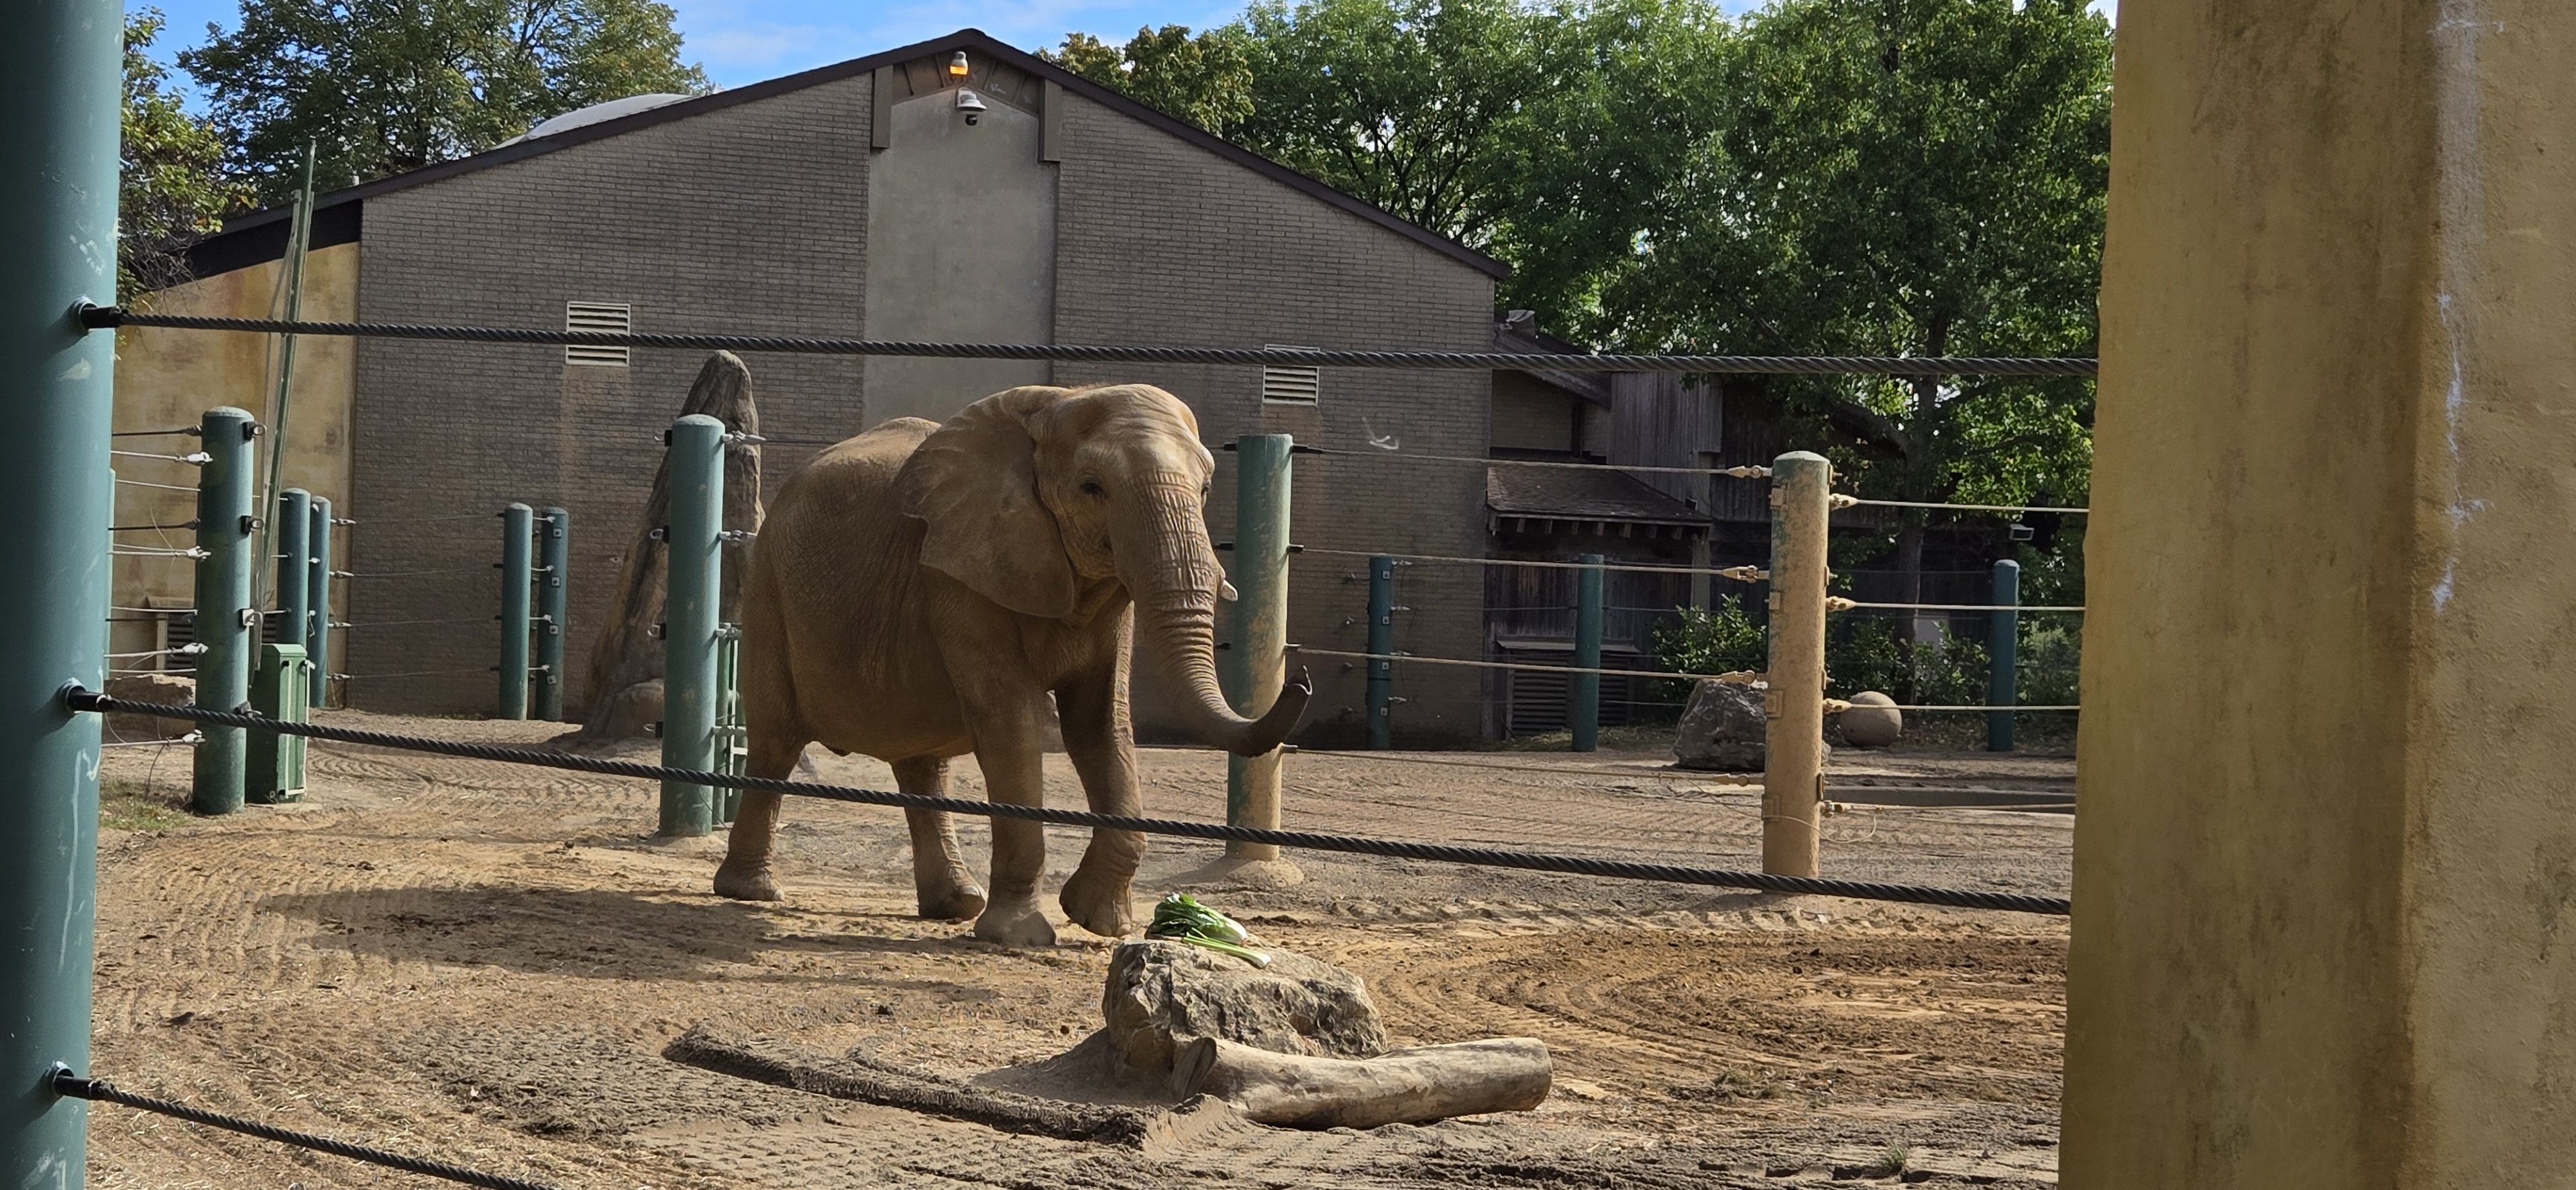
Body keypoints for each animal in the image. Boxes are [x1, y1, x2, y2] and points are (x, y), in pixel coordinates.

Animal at [713, 383, 1312, 947]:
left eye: (1206, 489)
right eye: (1092, 487)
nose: (1301, 680)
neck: (1057, 404)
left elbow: (1101, 725)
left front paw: (1100, 923)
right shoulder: (959, 571)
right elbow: (1012, 724)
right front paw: (1019, 936)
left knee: (922, 764)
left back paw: (955, 904)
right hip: (768, 589)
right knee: (776, 743)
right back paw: (751, 892)